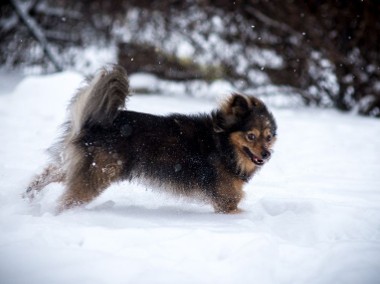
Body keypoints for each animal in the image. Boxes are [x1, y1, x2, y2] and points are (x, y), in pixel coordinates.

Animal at [26, 66, 276, 213]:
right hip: (97, 174)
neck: (221, 144)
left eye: (269, 137)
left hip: (80, 166)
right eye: (251, 136)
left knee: (47, 175)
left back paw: (27, 196)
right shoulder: (226, 202)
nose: (267, 154)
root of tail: (93, 123)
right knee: (67, 200)